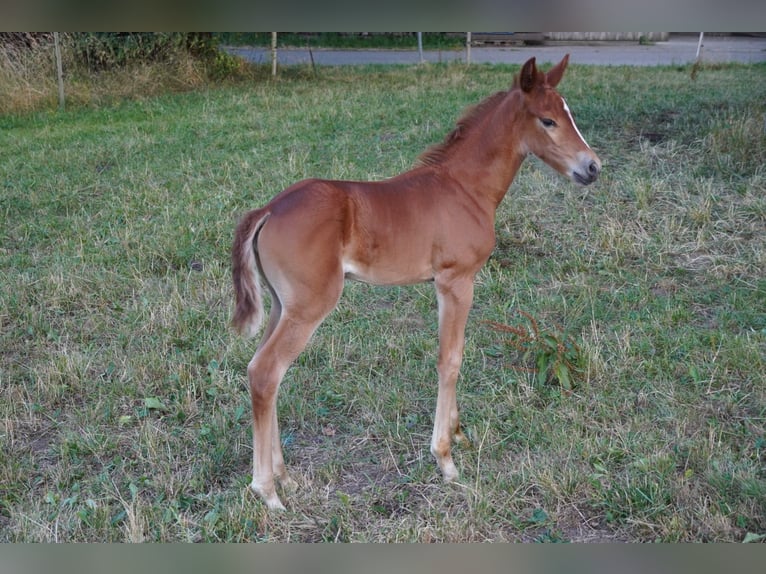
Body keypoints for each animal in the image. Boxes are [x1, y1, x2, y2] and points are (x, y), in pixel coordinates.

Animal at [231, 55, 601, 510]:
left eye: (569, 114)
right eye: (547, 120)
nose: (592, 167)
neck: (464, 188)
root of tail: (269, 208)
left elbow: (455, 355)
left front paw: (458, 434)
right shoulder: (456, 282)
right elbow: (450, 359)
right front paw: (445, 459)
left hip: (282, 306)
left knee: (262, 371)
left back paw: (285, 477)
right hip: (309, 306)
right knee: (267, 372)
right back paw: (267, 491)